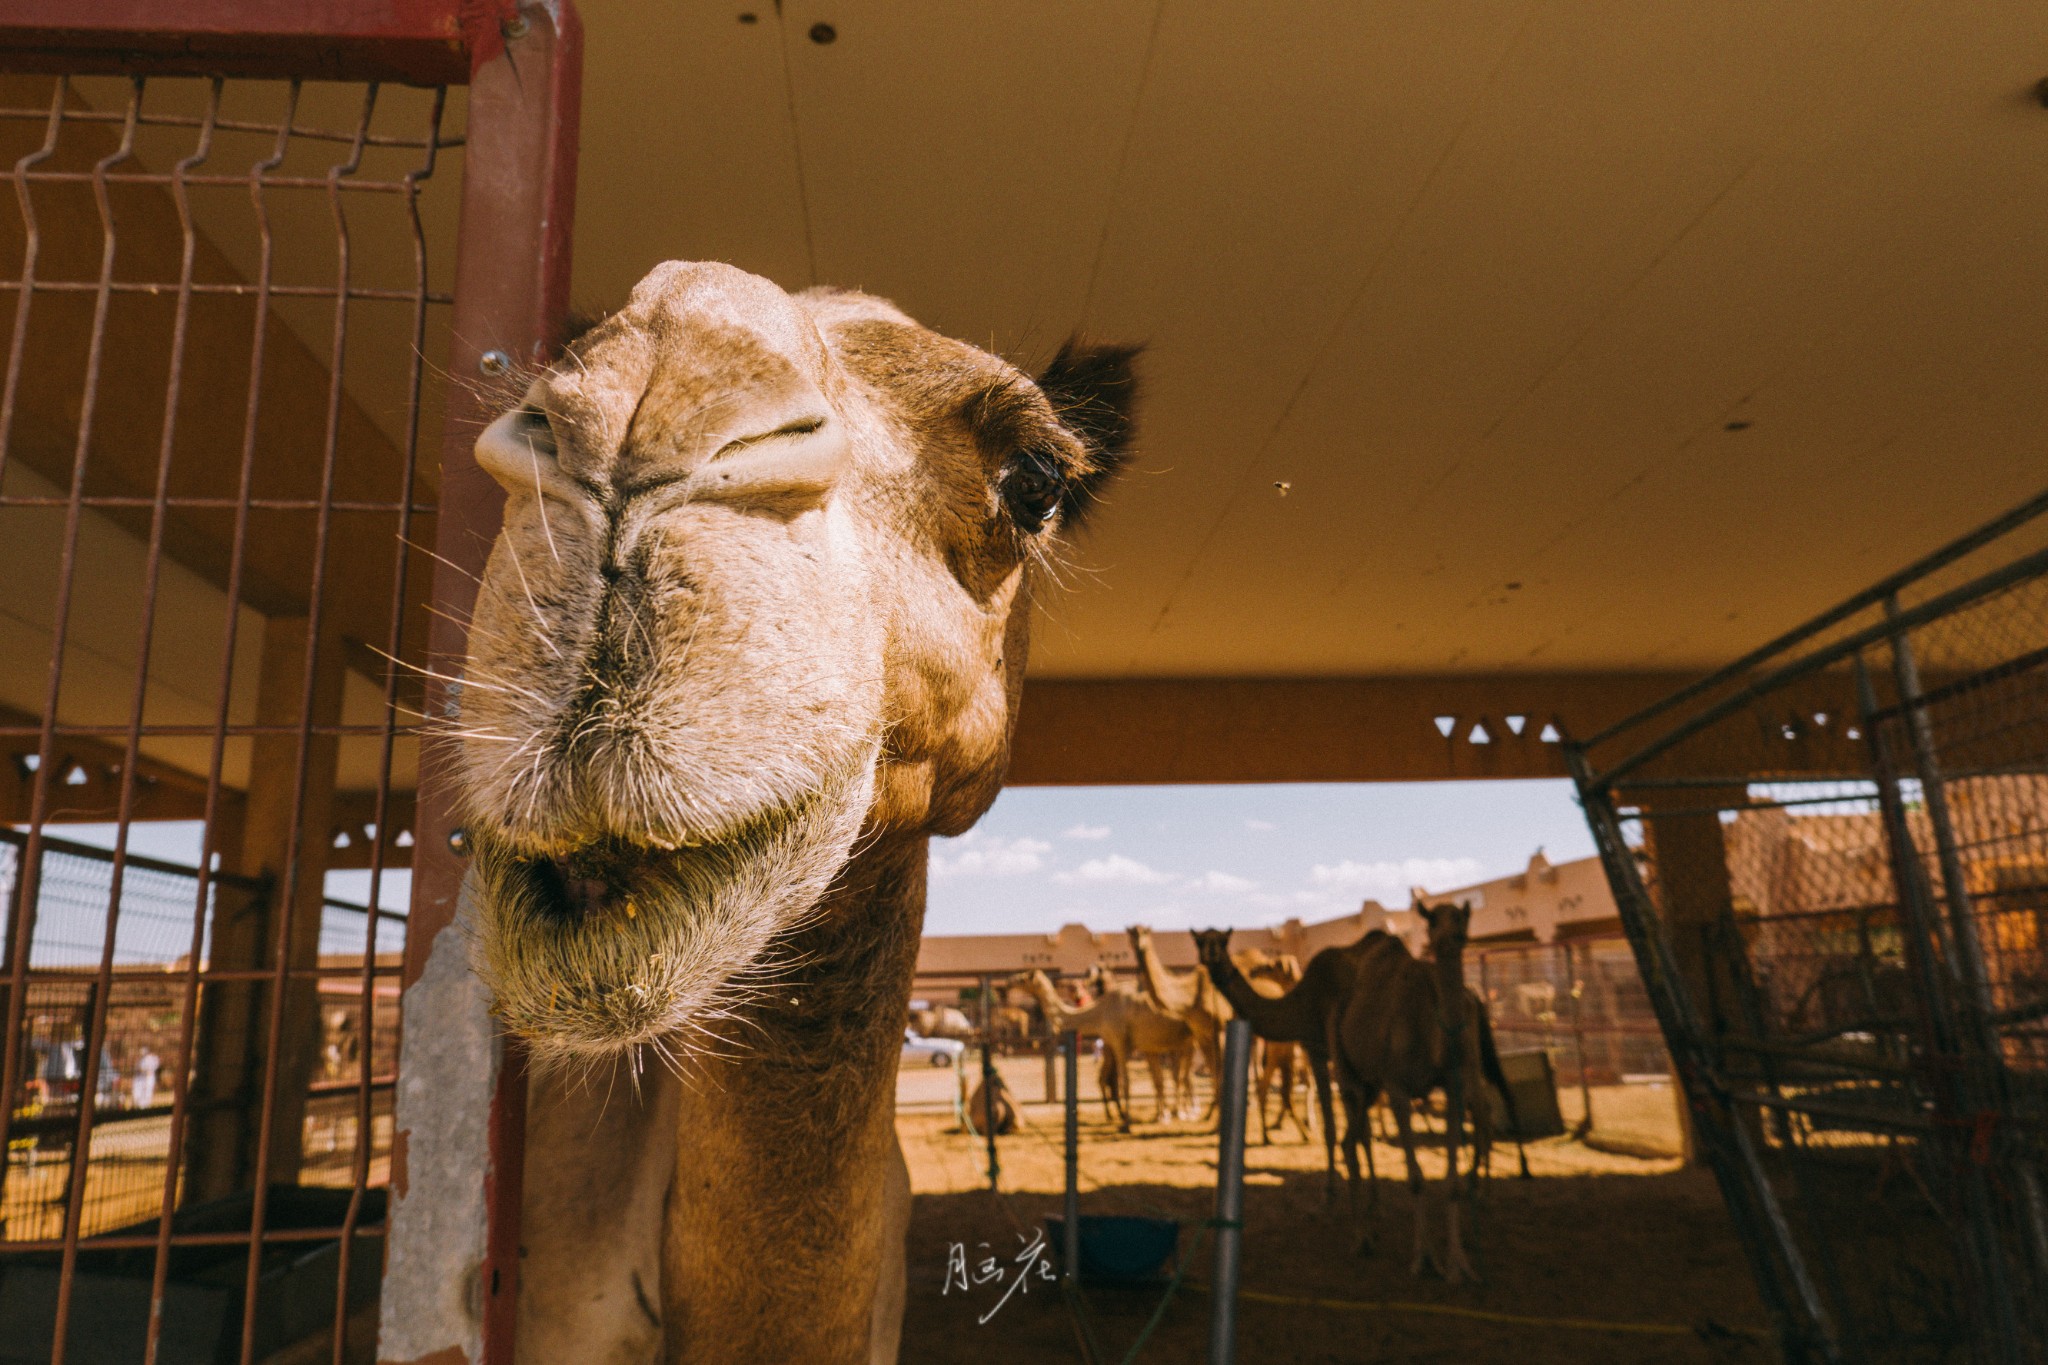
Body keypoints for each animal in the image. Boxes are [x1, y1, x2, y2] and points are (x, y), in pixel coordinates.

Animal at [1011, 970, 1196, 1129]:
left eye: (1023, 978)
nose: (1010, 981)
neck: (1099, 1012)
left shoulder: (1119, 1041)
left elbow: (1126, 1082)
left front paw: (1127, 1123)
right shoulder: (1147, 1045)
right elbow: (1158, 1080)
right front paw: (1162, 1116)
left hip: (1189, 1040)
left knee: (1184, 1075)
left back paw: (1188, 1112)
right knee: (1181, 1075)